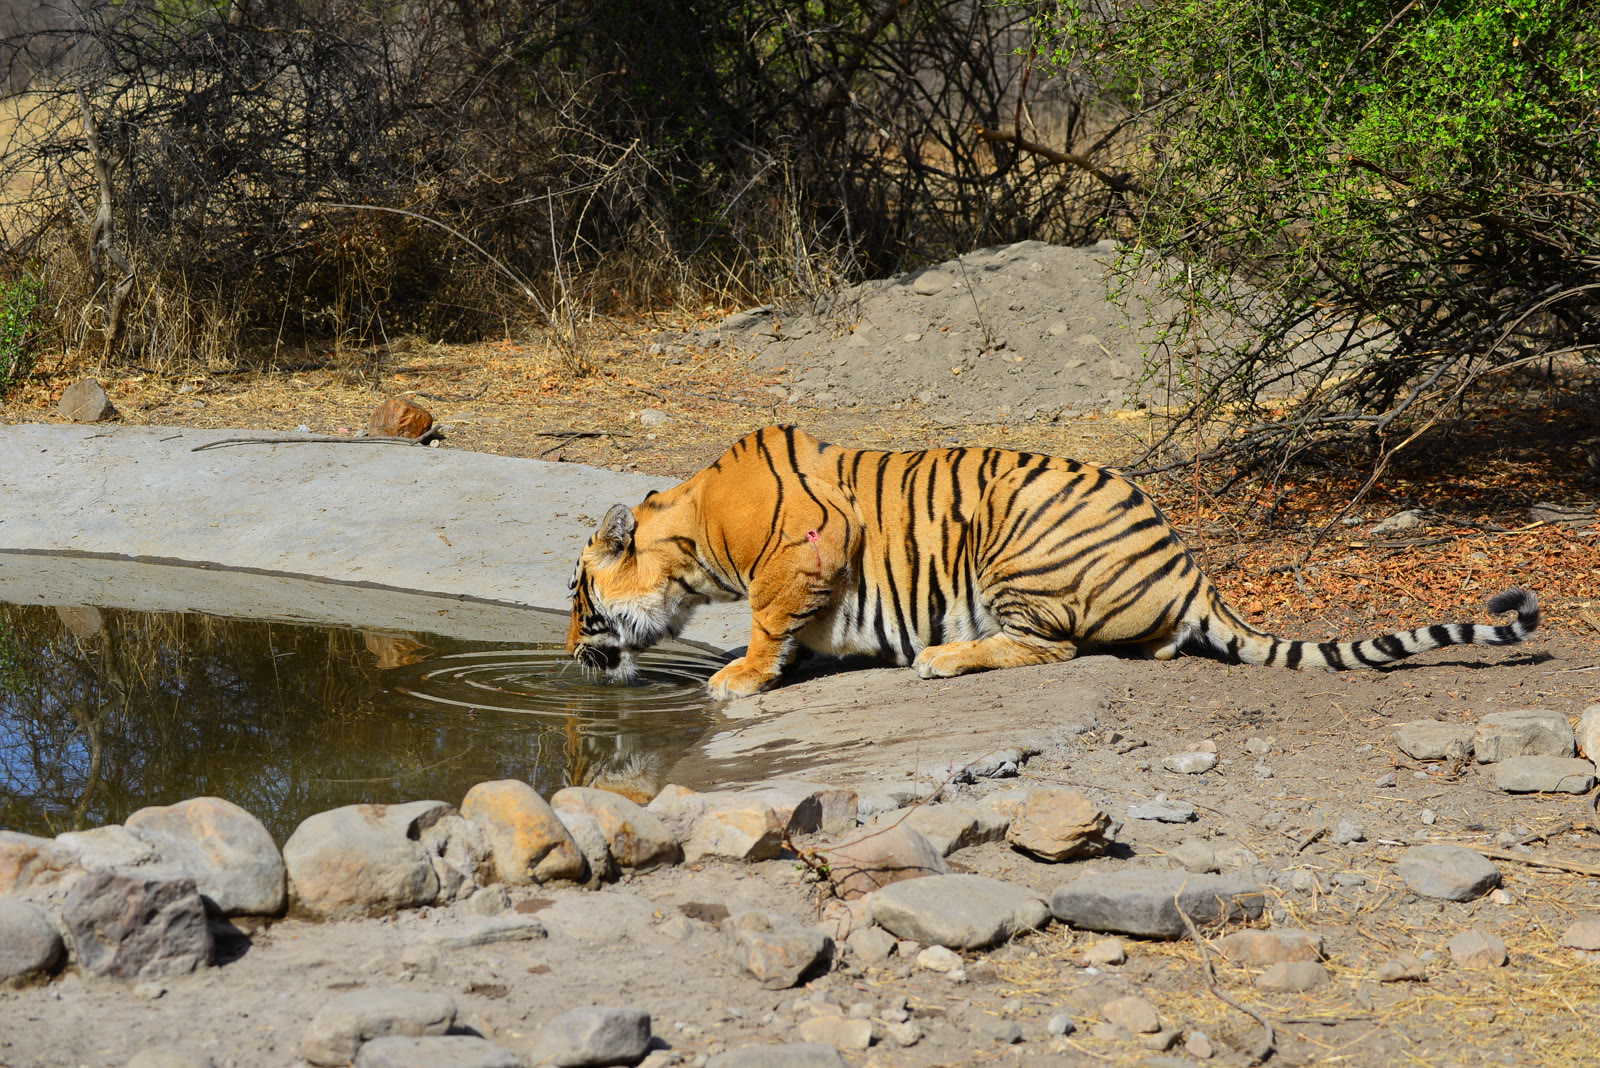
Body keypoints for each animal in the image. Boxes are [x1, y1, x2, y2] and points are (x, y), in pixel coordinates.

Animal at [566, 425, 1540, 698]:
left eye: (578, 599)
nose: (569, 654)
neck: (693, 534)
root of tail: (1189, 564)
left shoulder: (808, 549)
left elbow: (770, 622)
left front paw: (736, 676)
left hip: (1009, 541)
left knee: (1052, 646)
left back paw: (941, 657)